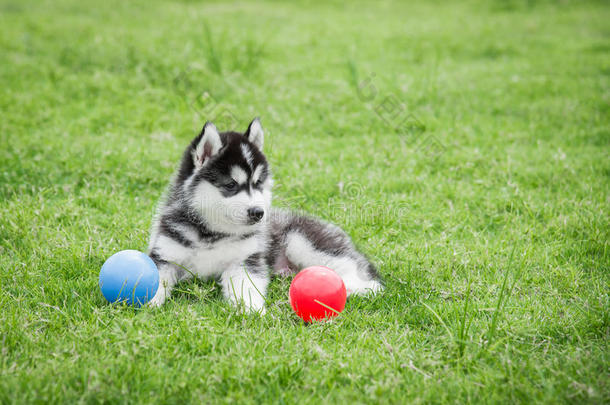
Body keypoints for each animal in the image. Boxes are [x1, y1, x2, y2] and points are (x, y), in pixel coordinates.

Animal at [147, 118, 380, 310]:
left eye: (258, 183)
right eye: (231, 185)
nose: (258, 212)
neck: (212, 233)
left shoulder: (246, 260)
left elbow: (246, 286)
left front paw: (251, 311)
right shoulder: (164, 254)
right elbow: (153, 278)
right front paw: (148, 304)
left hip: (302, 241)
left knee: (357, 272)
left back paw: (356, 289)